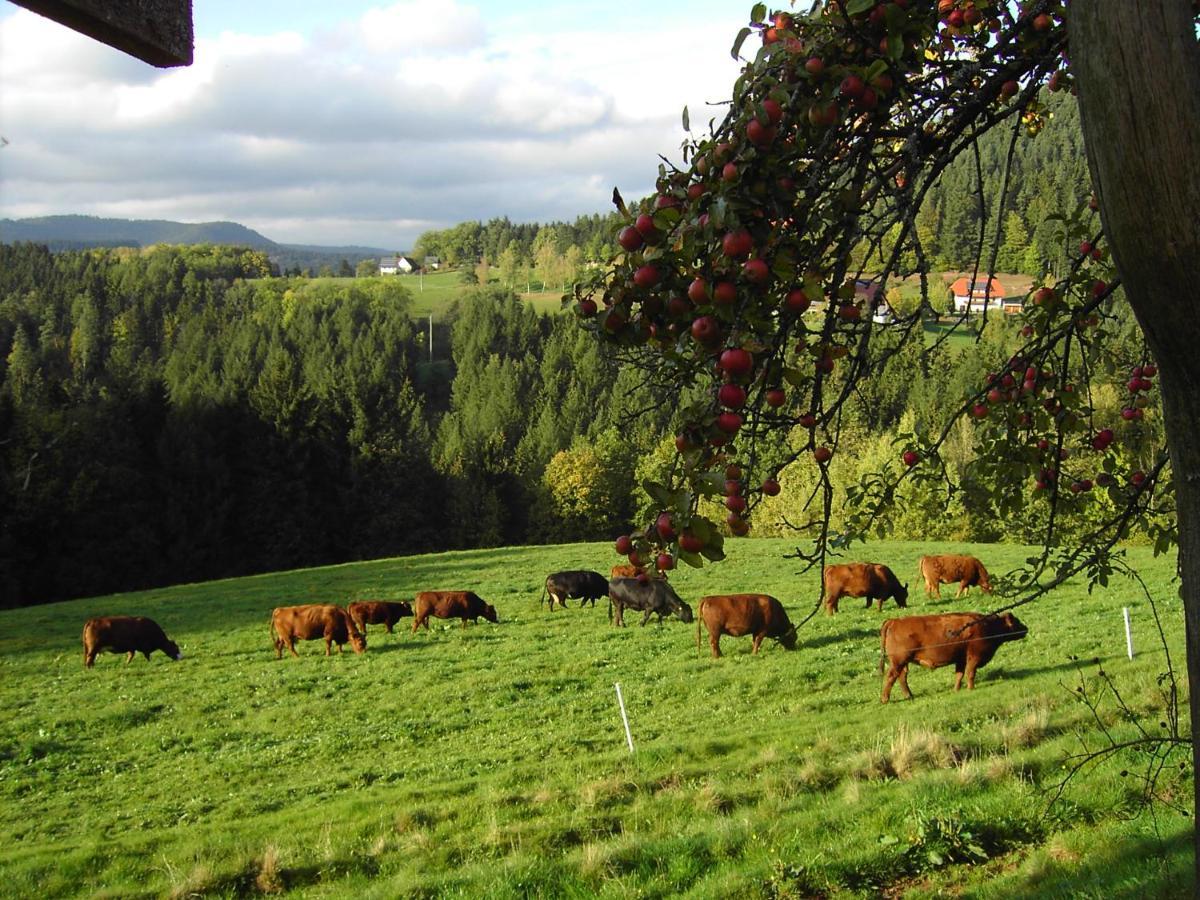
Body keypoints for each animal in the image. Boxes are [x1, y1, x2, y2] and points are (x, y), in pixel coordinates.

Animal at [878, 614, 1027, 705]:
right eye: (1017, 621)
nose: (1026, 628)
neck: (988, 625)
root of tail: (894, 621)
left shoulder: (960, 659)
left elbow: (959, 675)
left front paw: (956, 690)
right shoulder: (974, 657)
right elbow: (970, 673)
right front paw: (971, 688)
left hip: (903, 663)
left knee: (902, 677)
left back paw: (909, 695)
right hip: (898, 662)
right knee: (891, 677)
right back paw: (885, 699)